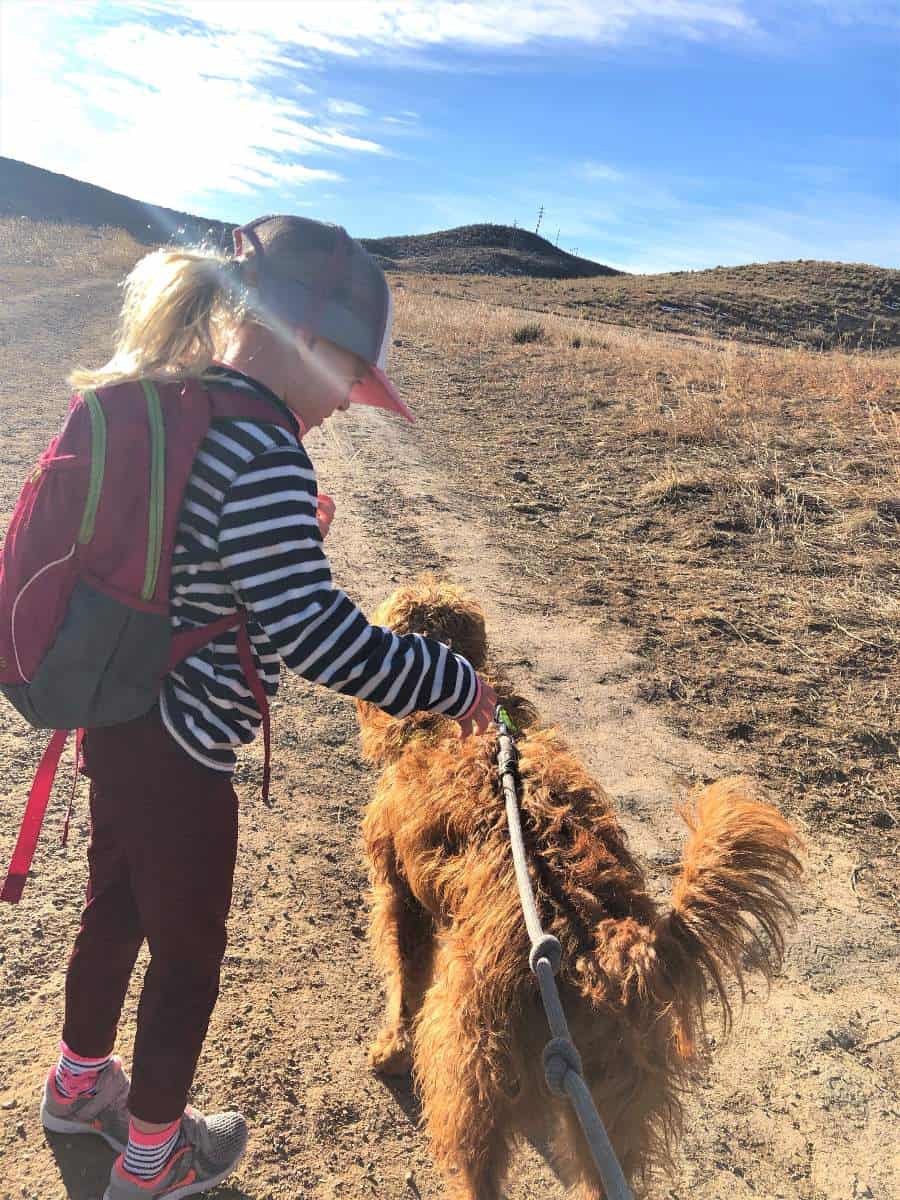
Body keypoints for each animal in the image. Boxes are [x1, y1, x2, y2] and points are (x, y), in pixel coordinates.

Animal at [355, 576, 806, 1195]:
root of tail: (617, 950)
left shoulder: (400, 894)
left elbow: (404, 979)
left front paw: (391, 1050)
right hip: (611, 1101)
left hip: (472, 1060)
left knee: (479, 1165)